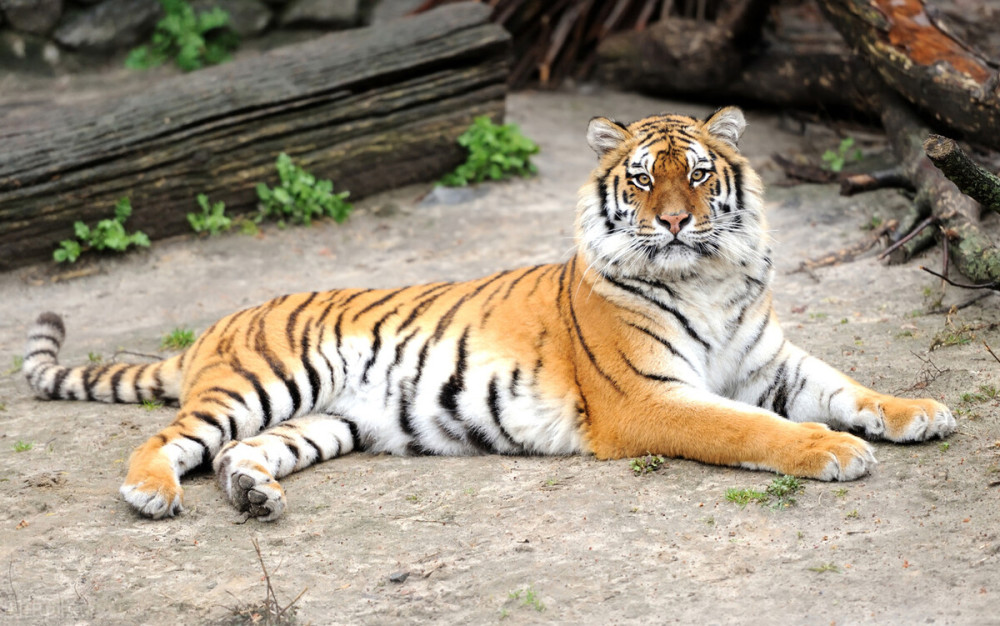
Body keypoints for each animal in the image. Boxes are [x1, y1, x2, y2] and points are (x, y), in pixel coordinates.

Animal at [19, 105, 952, 520]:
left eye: (697, 173)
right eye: (643, 179)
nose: (676, 223)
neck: (708, 275)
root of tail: (215, 326)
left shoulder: (770, 362)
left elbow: (849, 387)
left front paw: (918, 413)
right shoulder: (648, 398)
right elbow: (749, 427)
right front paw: (833, 451)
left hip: (324, 420)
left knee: (236, 454)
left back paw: (254, 494)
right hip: (263, 380)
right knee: (168, 438)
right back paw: (150, 494)